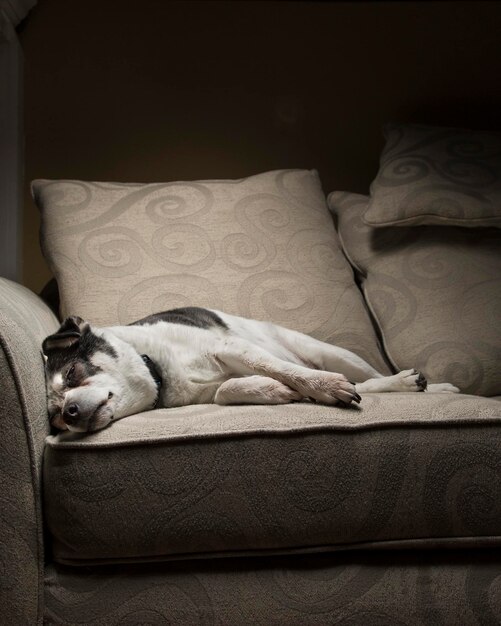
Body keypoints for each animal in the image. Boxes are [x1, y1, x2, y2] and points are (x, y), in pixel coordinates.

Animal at [42, 306, 458, 432]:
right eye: (56, 418)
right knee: (365, 383)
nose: (70, 412)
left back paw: (423, 385)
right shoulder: (209, 388)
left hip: (330, 352)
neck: (155, 363)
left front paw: (317, 386)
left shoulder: (231, 348)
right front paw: (275, 390)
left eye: (74, 373)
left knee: (369, 375)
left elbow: (275, 368)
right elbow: (227, 390)